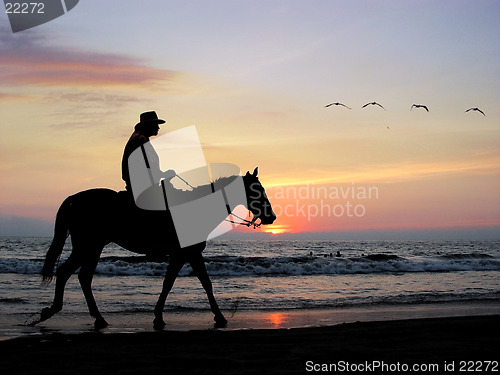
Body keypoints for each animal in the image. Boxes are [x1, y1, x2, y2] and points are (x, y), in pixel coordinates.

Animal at [34, 167, 278, 328]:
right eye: (256, 190)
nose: (272, 216)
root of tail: (75, 199)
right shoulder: (186, 253)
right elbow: (185, 283)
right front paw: (217, 316)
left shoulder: (187, 254)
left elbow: (187, 282)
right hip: (88, 246)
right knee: (70, 273)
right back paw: (58, 311)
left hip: (92, 247)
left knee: (80, 276)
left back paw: (93, 317)